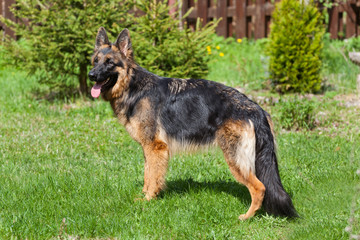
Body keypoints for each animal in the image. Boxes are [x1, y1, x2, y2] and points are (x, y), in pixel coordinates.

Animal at [88, 27, 296, 219]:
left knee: (260, 188)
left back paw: (247, 216)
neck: (133, 88)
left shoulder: (155, 147)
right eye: (96, 61)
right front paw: (146, 194)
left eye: (110, 62)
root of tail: (257, 109)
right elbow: (148, 173)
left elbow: (153, 176)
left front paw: (148, 199)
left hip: (235, 159)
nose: (91, 75)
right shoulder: (149, 149)